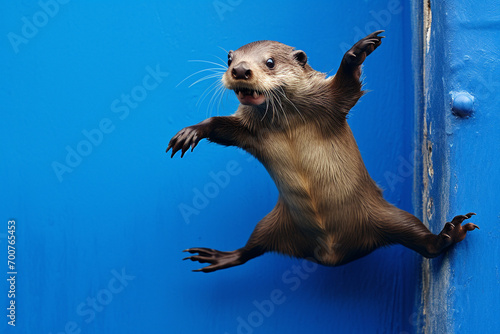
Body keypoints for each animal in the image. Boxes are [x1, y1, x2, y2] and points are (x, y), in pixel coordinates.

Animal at [166, 30, 478, 272]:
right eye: (230, 60)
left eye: (270, 62)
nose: (240, 71)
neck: (288, 121)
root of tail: (331, 256)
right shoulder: (250, 132)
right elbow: (223, 128)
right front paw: (191, 132)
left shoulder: (330, 102)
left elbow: (347, 86)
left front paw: (357, 51)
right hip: (273, 223)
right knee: (252, 248)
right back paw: (220, 256)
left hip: (385, 215)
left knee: (422, 243)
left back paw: (447, 235)